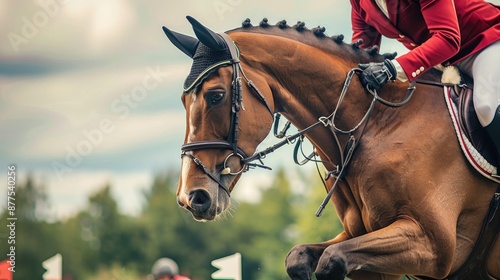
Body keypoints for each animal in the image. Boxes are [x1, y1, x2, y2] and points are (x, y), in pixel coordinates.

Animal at [164, 16, 500, 278]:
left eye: (216, 96)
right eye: (182, 100)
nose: (191, 197)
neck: (379, 124)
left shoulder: (432, 245)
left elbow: (332, 261)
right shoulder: (358, 238)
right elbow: (301, 257)